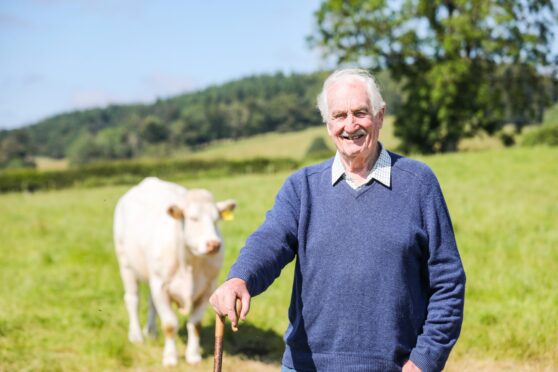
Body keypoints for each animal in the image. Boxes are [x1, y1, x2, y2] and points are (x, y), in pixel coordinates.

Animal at [114, 177, 236, 366]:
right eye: (193, 218)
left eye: (216, 220)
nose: (214, 244)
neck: (190, 261)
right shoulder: (160, 286)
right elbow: (170, 324)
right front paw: (170, 357)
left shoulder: (208, 288)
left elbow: (195, 323)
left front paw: (193, 355)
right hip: (126, 264)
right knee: (133, 300)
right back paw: (136, 336)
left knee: (151, 303)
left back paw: (151, 332)